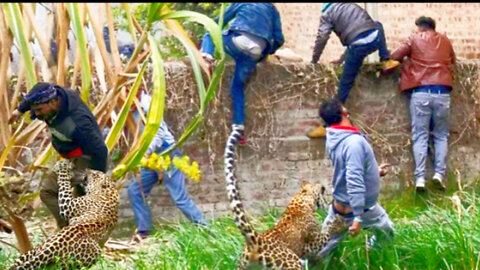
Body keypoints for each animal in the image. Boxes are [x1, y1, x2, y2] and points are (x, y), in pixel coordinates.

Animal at [223, 125, 346, 270]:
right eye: (320, 189)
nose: (323, 187)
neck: (302, 199)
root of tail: (256, 242)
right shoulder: (313, 242)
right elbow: (326, 233)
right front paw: (338, 224)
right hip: (292, 264)